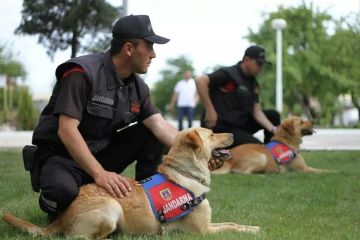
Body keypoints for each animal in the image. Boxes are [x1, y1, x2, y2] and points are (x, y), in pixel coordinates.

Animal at [0, 126, 258, 239]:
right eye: (212, 134)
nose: (233, 134)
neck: (186, 175)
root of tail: (61, 218)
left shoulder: (209, 224)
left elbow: (232, 223)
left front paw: (253, 227)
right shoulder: (202, 232)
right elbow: (230, 228)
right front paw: (252, 230)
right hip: (110, 208)